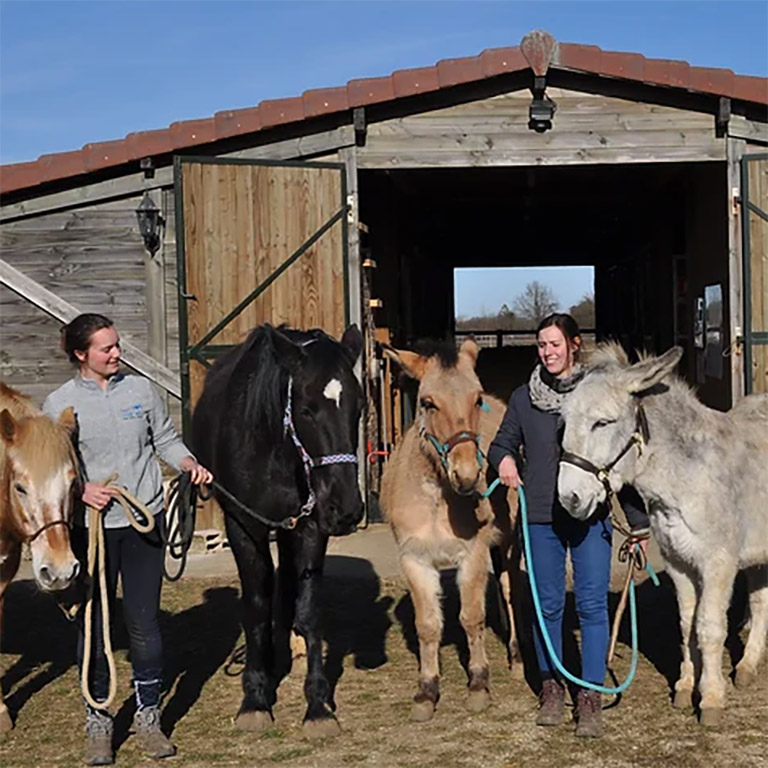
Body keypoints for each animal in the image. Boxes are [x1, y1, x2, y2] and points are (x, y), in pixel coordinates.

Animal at [190, 322, 362, 736]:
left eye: (359, 408)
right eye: (306, 409)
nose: (347, 510)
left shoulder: (312, 525)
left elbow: (308, 608)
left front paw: (317, 704)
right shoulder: (242, 526)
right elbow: (255, 604)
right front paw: (254, 697)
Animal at [380, 340, 520, 724]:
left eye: (476, 399)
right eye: (428, 403)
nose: (468, 475)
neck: (436, 497)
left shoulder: (472, 554)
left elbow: (471, 618)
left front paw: (479, 685)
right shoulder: (414, 560)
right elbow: (428, 625)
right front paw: (427, 691)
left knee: (511, 591)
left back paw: (517, 656)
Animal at [560, 348, 768, 728]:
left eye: (602, 423)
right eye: (564, 422)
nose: (569, 499)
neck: (685, 479)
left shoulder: (718, 563)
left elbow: (709, 626)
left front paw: (711, 698)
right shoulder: (678, 564)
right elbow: (687, 625)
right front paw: (686, 687)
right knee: (760, 602)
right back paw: (747, 667)